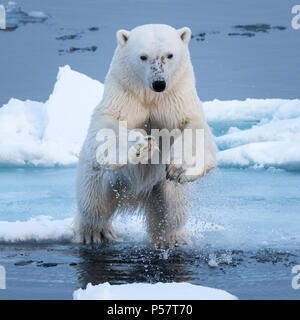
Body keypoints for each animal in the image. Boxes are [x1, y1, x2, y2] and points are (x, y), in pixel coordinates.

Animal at [74, 24, 217, 248]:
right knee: (93, 204)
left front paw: (180, 167)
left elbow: (193, 127)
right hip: (101, 180)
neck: (150, 97)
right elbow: (108, 125)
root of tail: (137, 196)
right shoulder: (125, 93)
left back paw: (173, 239)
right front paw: (141, 147)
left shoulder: (176, 97)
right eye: (143, 56)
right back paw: (95, 233)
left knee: (173, 208)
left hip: (161, 186)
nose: (159, 83)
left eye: (169, 55)